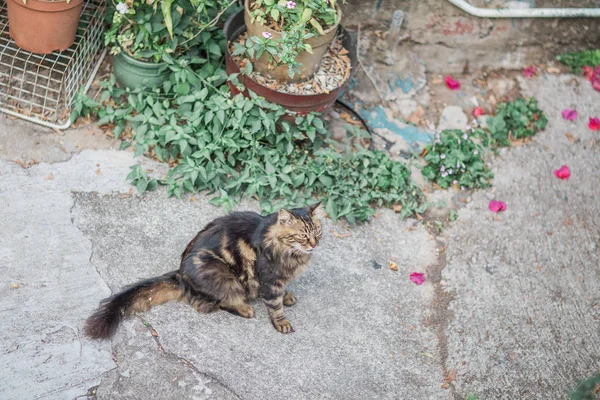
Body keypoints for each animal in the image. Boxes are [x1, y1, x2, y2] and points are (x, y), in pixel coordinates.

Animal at [84, 203, 324, 338]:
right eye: (302, 236)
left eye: (318, 232)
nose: (314, 245)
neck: (292, 254)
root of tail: (180, 275)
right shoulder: (269, 280)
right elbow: (275, 305)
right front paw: (281, 322)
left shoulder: (280, 279)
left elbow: (283, 292)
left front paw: (288, 296)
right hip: (223, 275)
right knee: (217, 303)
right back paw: (244, 308)